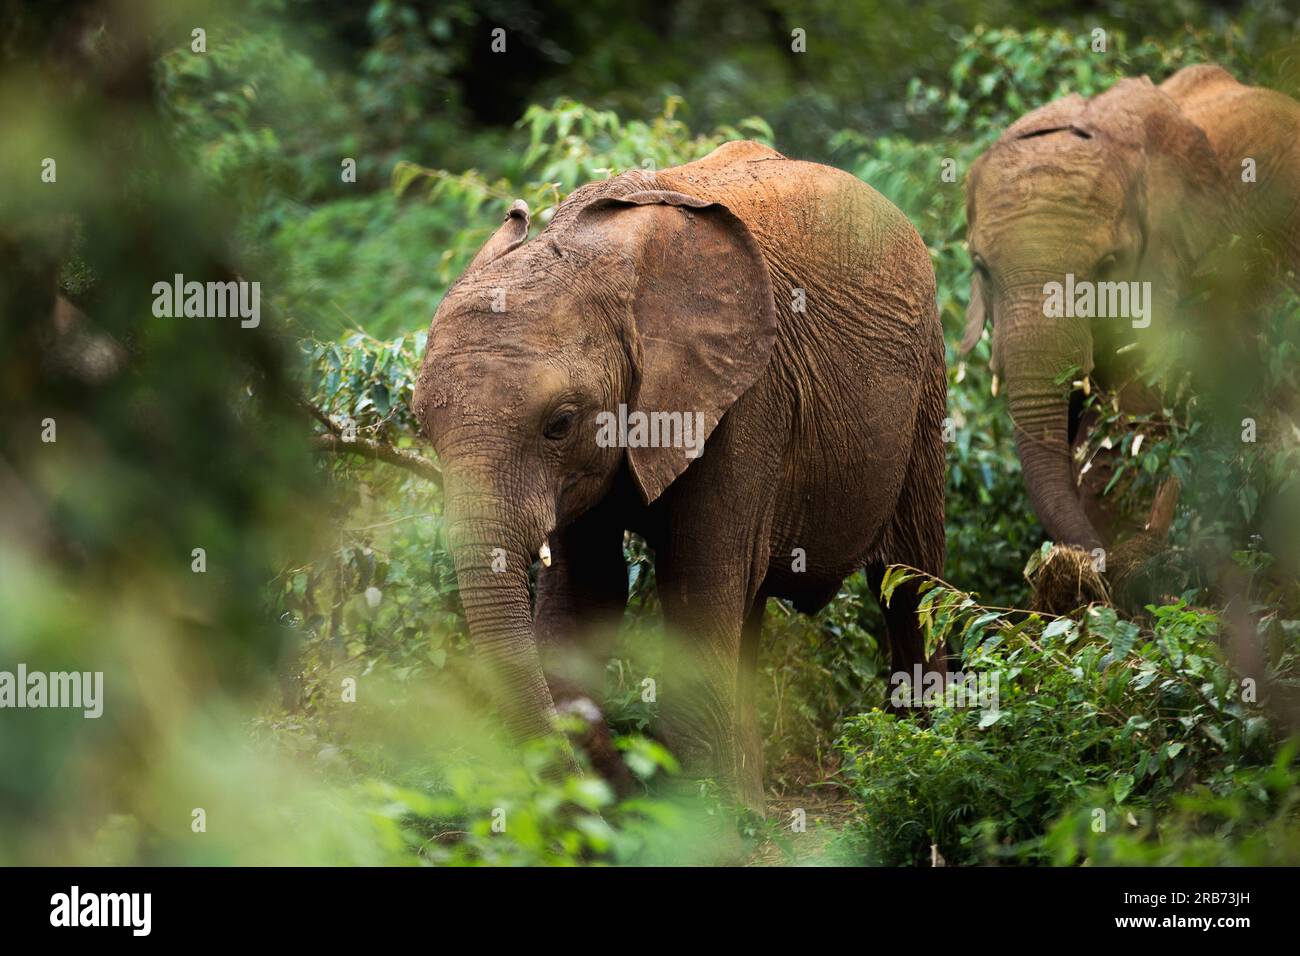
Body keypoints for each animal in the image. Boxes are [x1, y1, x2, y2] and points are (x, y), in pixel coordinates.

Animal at [408, 140, 946, 806]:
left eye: (560, 423)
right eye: (421, 428)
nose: (612, 791)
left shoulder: (747, 397)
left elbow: (696, 585)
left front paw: (700, 815)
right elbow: (587, 593)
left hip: (926, 387)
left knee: (911, 583)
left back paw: (917, 760)